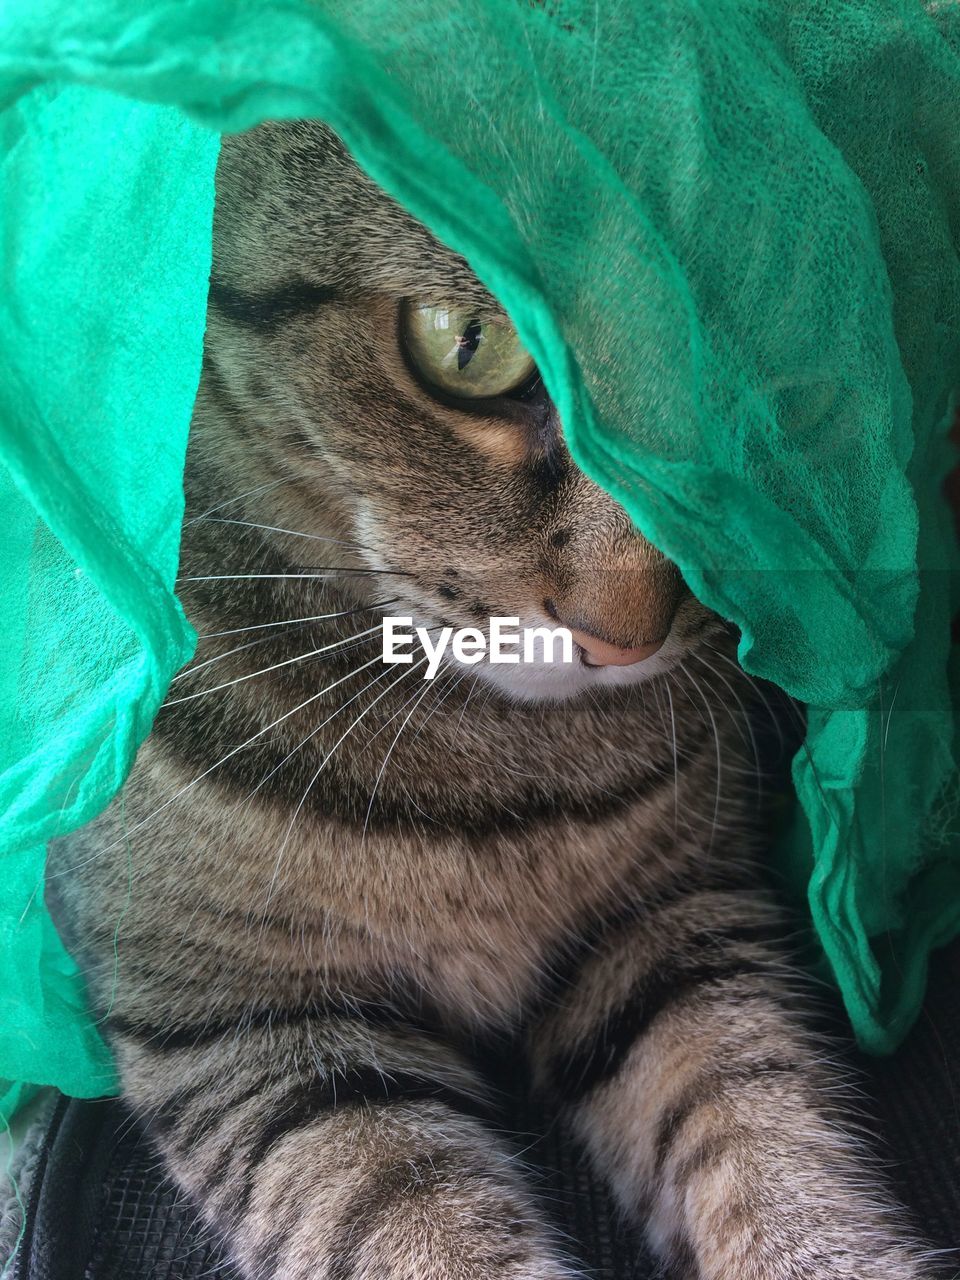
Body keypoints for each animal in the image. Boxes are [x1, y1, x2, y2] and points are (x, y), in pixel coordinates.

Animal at [47, 122, 931, 1280]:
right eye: (469, 345)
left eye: (750, 402)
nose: (624, 634)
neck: (483, 773)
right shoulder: (241, 1025)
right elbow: (410, 1226)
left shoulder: (674, 923)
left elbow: (769, 1126)